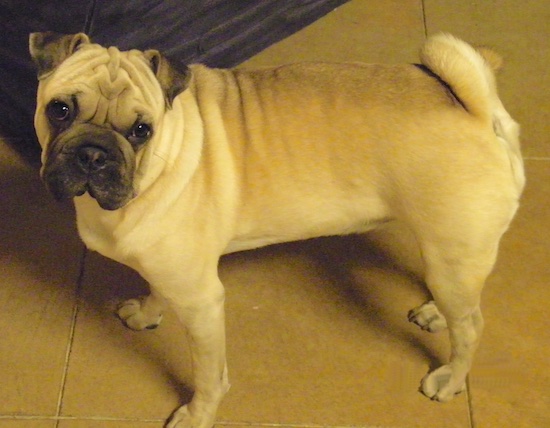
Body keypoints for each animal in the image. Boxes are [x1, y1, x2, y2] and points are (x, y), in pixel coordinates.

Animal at [29, 31, 528, 426]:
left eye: (140, 130)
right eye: (59, 110)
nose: (93, 153)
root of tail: (479, 112)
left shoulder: (202, 302)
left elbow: (209, 377)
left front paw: (197, 415)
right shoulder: (170, 272)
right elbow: (155, 288)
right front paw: (148, 313)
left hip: (450, 255)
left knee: (471, 327)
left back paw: (451, 377)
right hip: (451, 257)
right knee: (465, 303)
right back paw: (436, 314)